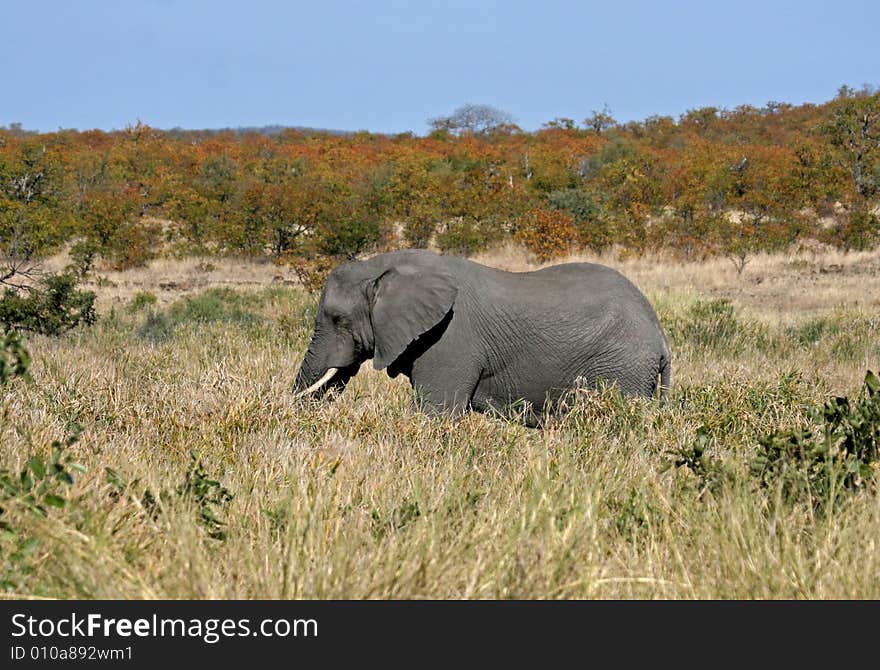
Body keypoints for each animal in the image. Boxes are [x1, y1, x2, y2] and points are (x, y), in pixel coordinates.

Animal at [292, 249, 672, 428]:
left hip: (622, 367)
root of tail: (660, 338)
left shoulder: (449, 339)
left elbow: (438, 414)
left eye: (338, 319)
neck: (383, 266)